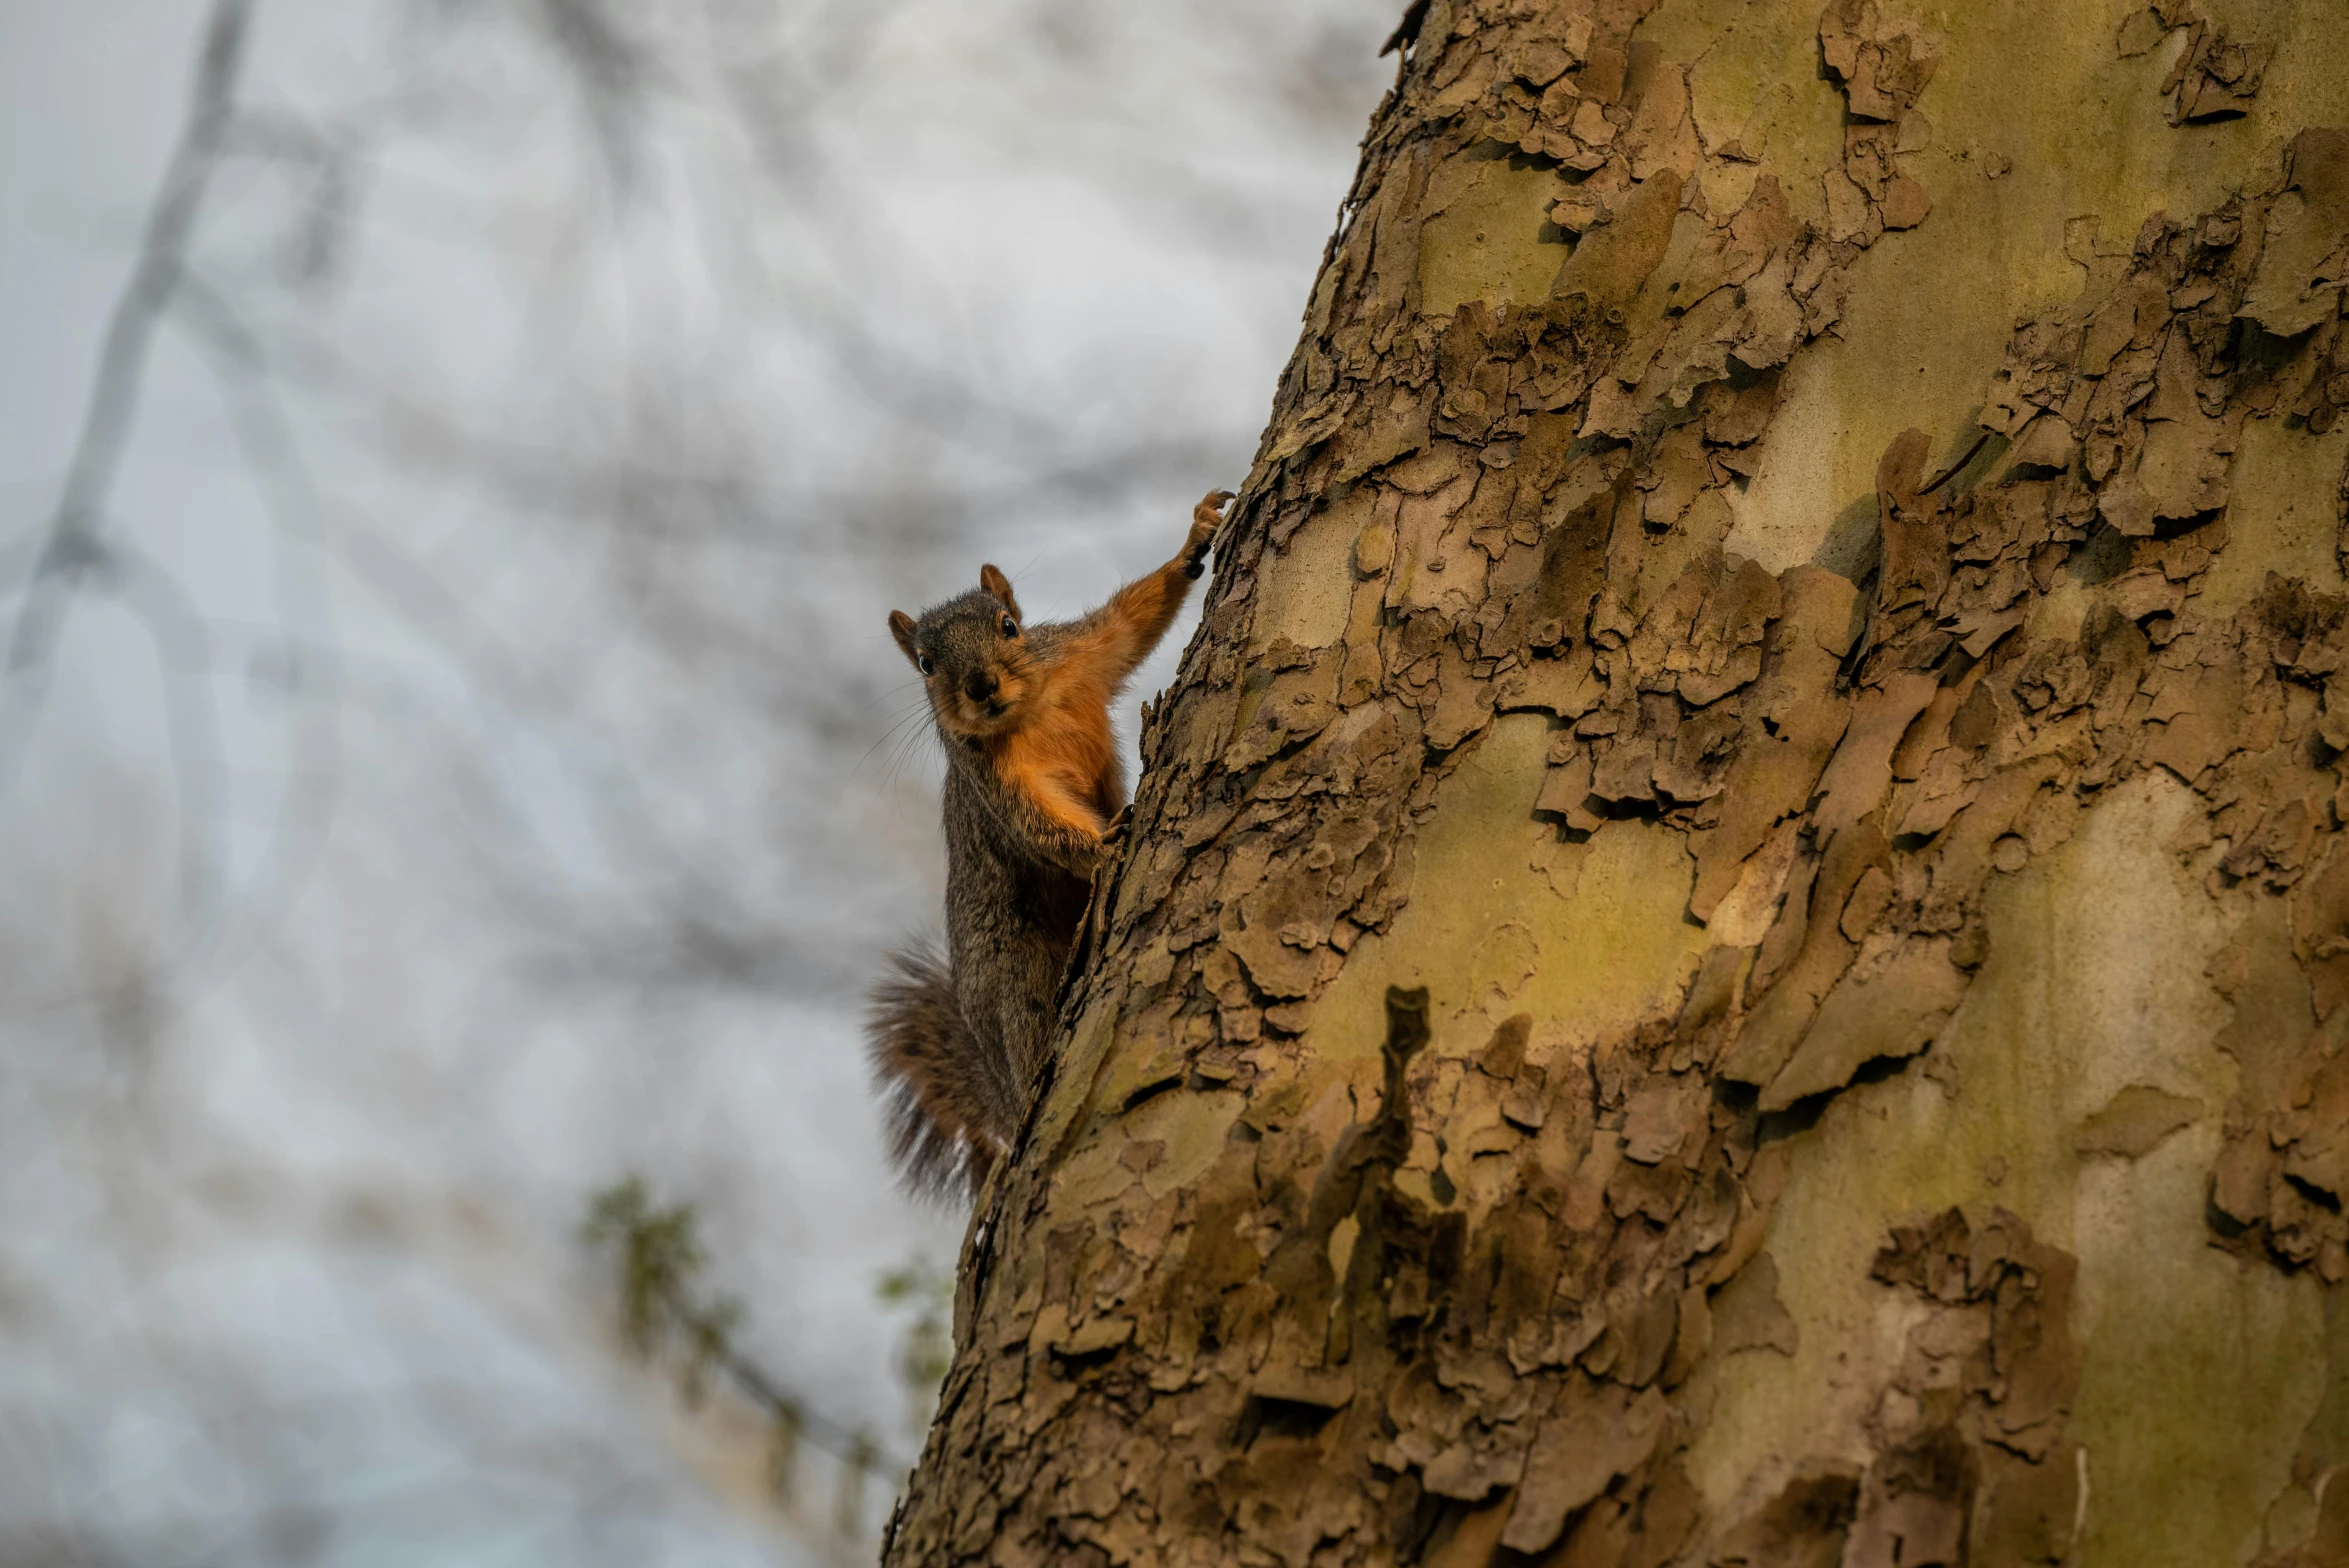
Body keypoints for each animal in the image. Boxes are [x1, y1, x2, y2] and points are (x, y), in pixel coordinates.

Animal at [864, 490, 1230, 1201]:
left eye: (1009, 625)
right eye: (925, 663)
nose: (980, 685)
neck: (1027, 712)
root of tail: (1002, 1094)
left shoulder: (1080, 654)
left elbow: (1130, 621)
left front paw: (1193, 540)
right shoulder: (996, 785)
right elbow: (1040, 826)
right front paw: (1107, 842)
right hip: (1017, 980)